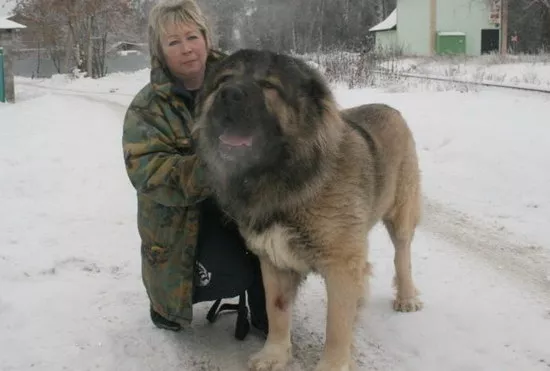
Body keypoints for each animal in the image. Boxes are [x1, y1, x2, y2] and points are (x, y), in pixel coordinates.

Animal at [196, 50, 424, 371]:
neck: (286, 176)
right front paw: (274, 354)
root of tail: (389, 108)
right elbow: (277, 311)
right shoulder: (273, 259)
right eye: (224, 80)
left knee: (402, 254)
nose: (228, 94)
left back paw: (405, 297)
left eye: (268, 85)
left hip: (401, 211)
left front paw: (333, 364)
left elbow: (336, 326)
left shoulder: (340, 264)